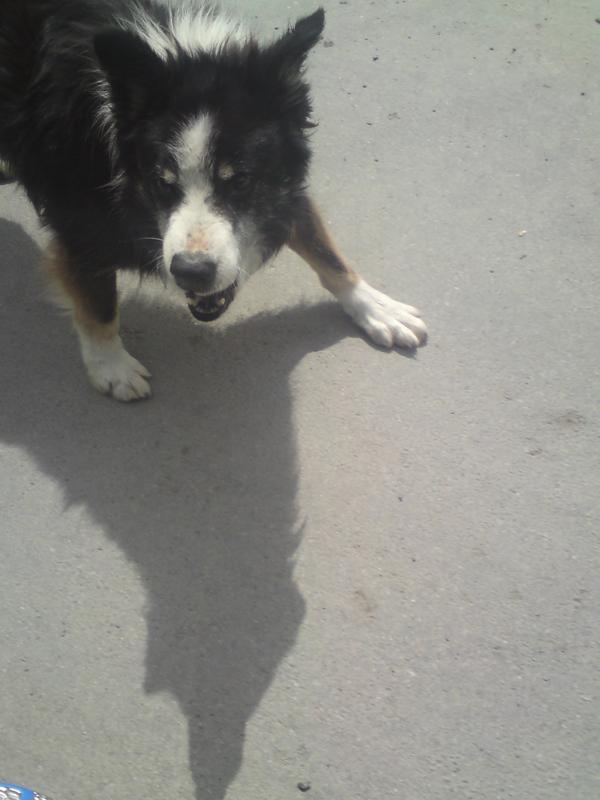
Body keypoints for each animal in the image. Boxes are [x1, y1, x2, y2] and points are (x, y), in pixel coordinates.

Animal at [0, 0, 427, 401]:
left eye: (240, 182)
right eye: (161, 183)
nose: (191, 272)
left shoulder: (284, 188)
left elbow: (325, 249)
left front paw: (374, 306)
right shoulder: (78, 223)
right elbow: (98, 303)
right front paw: (112, 367)